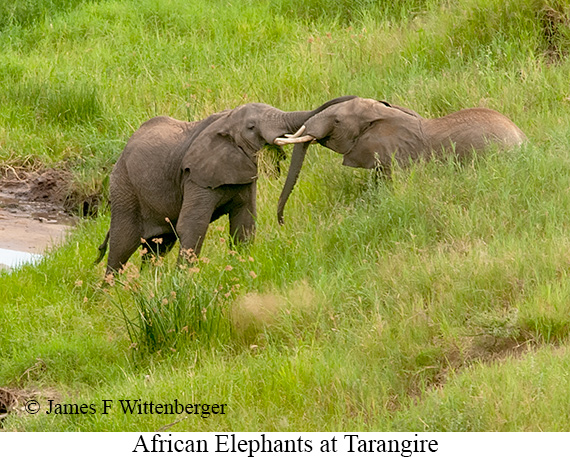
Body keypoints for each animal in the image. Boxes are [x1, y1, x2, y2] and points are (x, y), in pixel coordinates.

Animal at [97, 95, 356, 274]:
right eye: (251, 127)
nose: (281, 221)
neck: (226, 120)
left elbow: (245, 223)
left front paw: (241, 270)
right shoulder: (196, 177)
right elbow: (192, 226)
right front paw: (183, 281)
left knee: (157, 247)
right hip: (124, 188)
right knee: (122, 246)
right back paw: (112, 294)